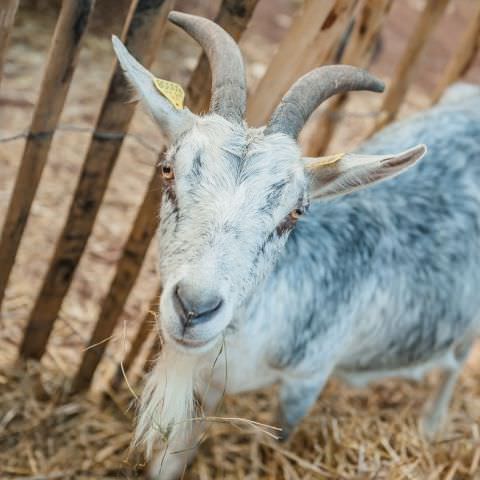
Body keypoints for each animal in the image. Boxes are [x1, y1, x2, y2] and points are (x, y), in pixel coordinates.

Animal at [111, 11, 480, 480]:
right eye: (167, 170)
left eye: (296, 212)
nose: (194, 308)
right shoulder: (209, 382)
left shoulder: (307, 378)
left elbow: (281, 441)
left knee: (458, 361)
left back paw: (432, 424)